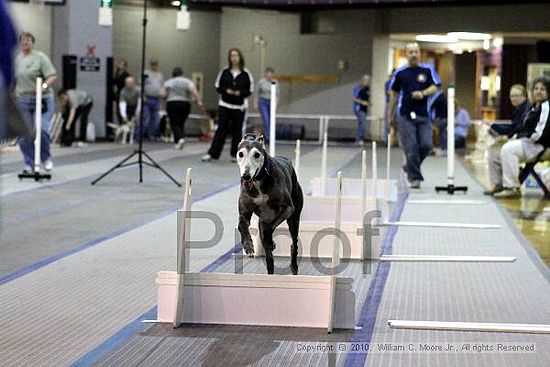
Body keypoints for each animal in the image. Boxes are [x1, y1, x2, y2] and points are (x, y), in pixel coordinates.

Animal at [238, 134, 306, 274]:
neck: (258, 181)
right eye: (240, 154)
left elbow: (269, 228)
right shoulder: (245, 212)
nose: (246, 176)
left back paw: (293, 266)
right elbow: (242, 224)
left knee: (294, 244)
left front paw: (270, 241)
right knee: (269, 259)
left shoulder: (287, 209)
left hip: (294, 219)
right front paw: (248, 246)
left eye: (256, 154)